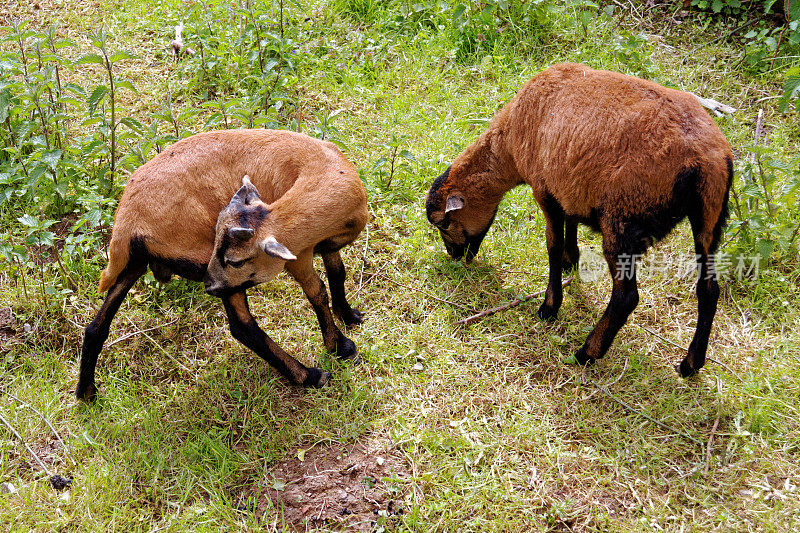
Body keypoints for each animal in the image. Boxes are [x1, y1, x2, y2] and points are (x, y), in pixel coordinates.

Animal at [78, 129, 366, 402]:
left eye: (235, 259)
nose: (208, 286)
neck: (321, 168)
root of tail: (127, 222)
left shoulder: (327, 246)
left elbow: (337, 273)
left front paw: (349, 315)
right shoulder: (297, 256)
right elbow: (317, 292)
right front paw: (340, 347)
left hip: (138, 262)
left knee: (96, 326)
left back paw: (86, 392)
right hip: (210, 269)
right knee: (242, 327)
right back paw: (309, 375)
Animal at [428, 64, 736, 376]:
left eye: (443, 223)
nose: (454, 255)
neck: (509, 145)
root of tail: (705, 161)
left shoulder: (545, 190)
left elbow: (552, 246)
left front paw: (549, 307)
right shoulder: (568, 185)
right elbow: (571, 223)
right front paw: (571, 260)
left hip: (622, 219)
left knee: (626, 297)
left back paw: (587, 352)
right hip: (709, 219)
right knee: (708, 290)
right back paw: (691, 363)